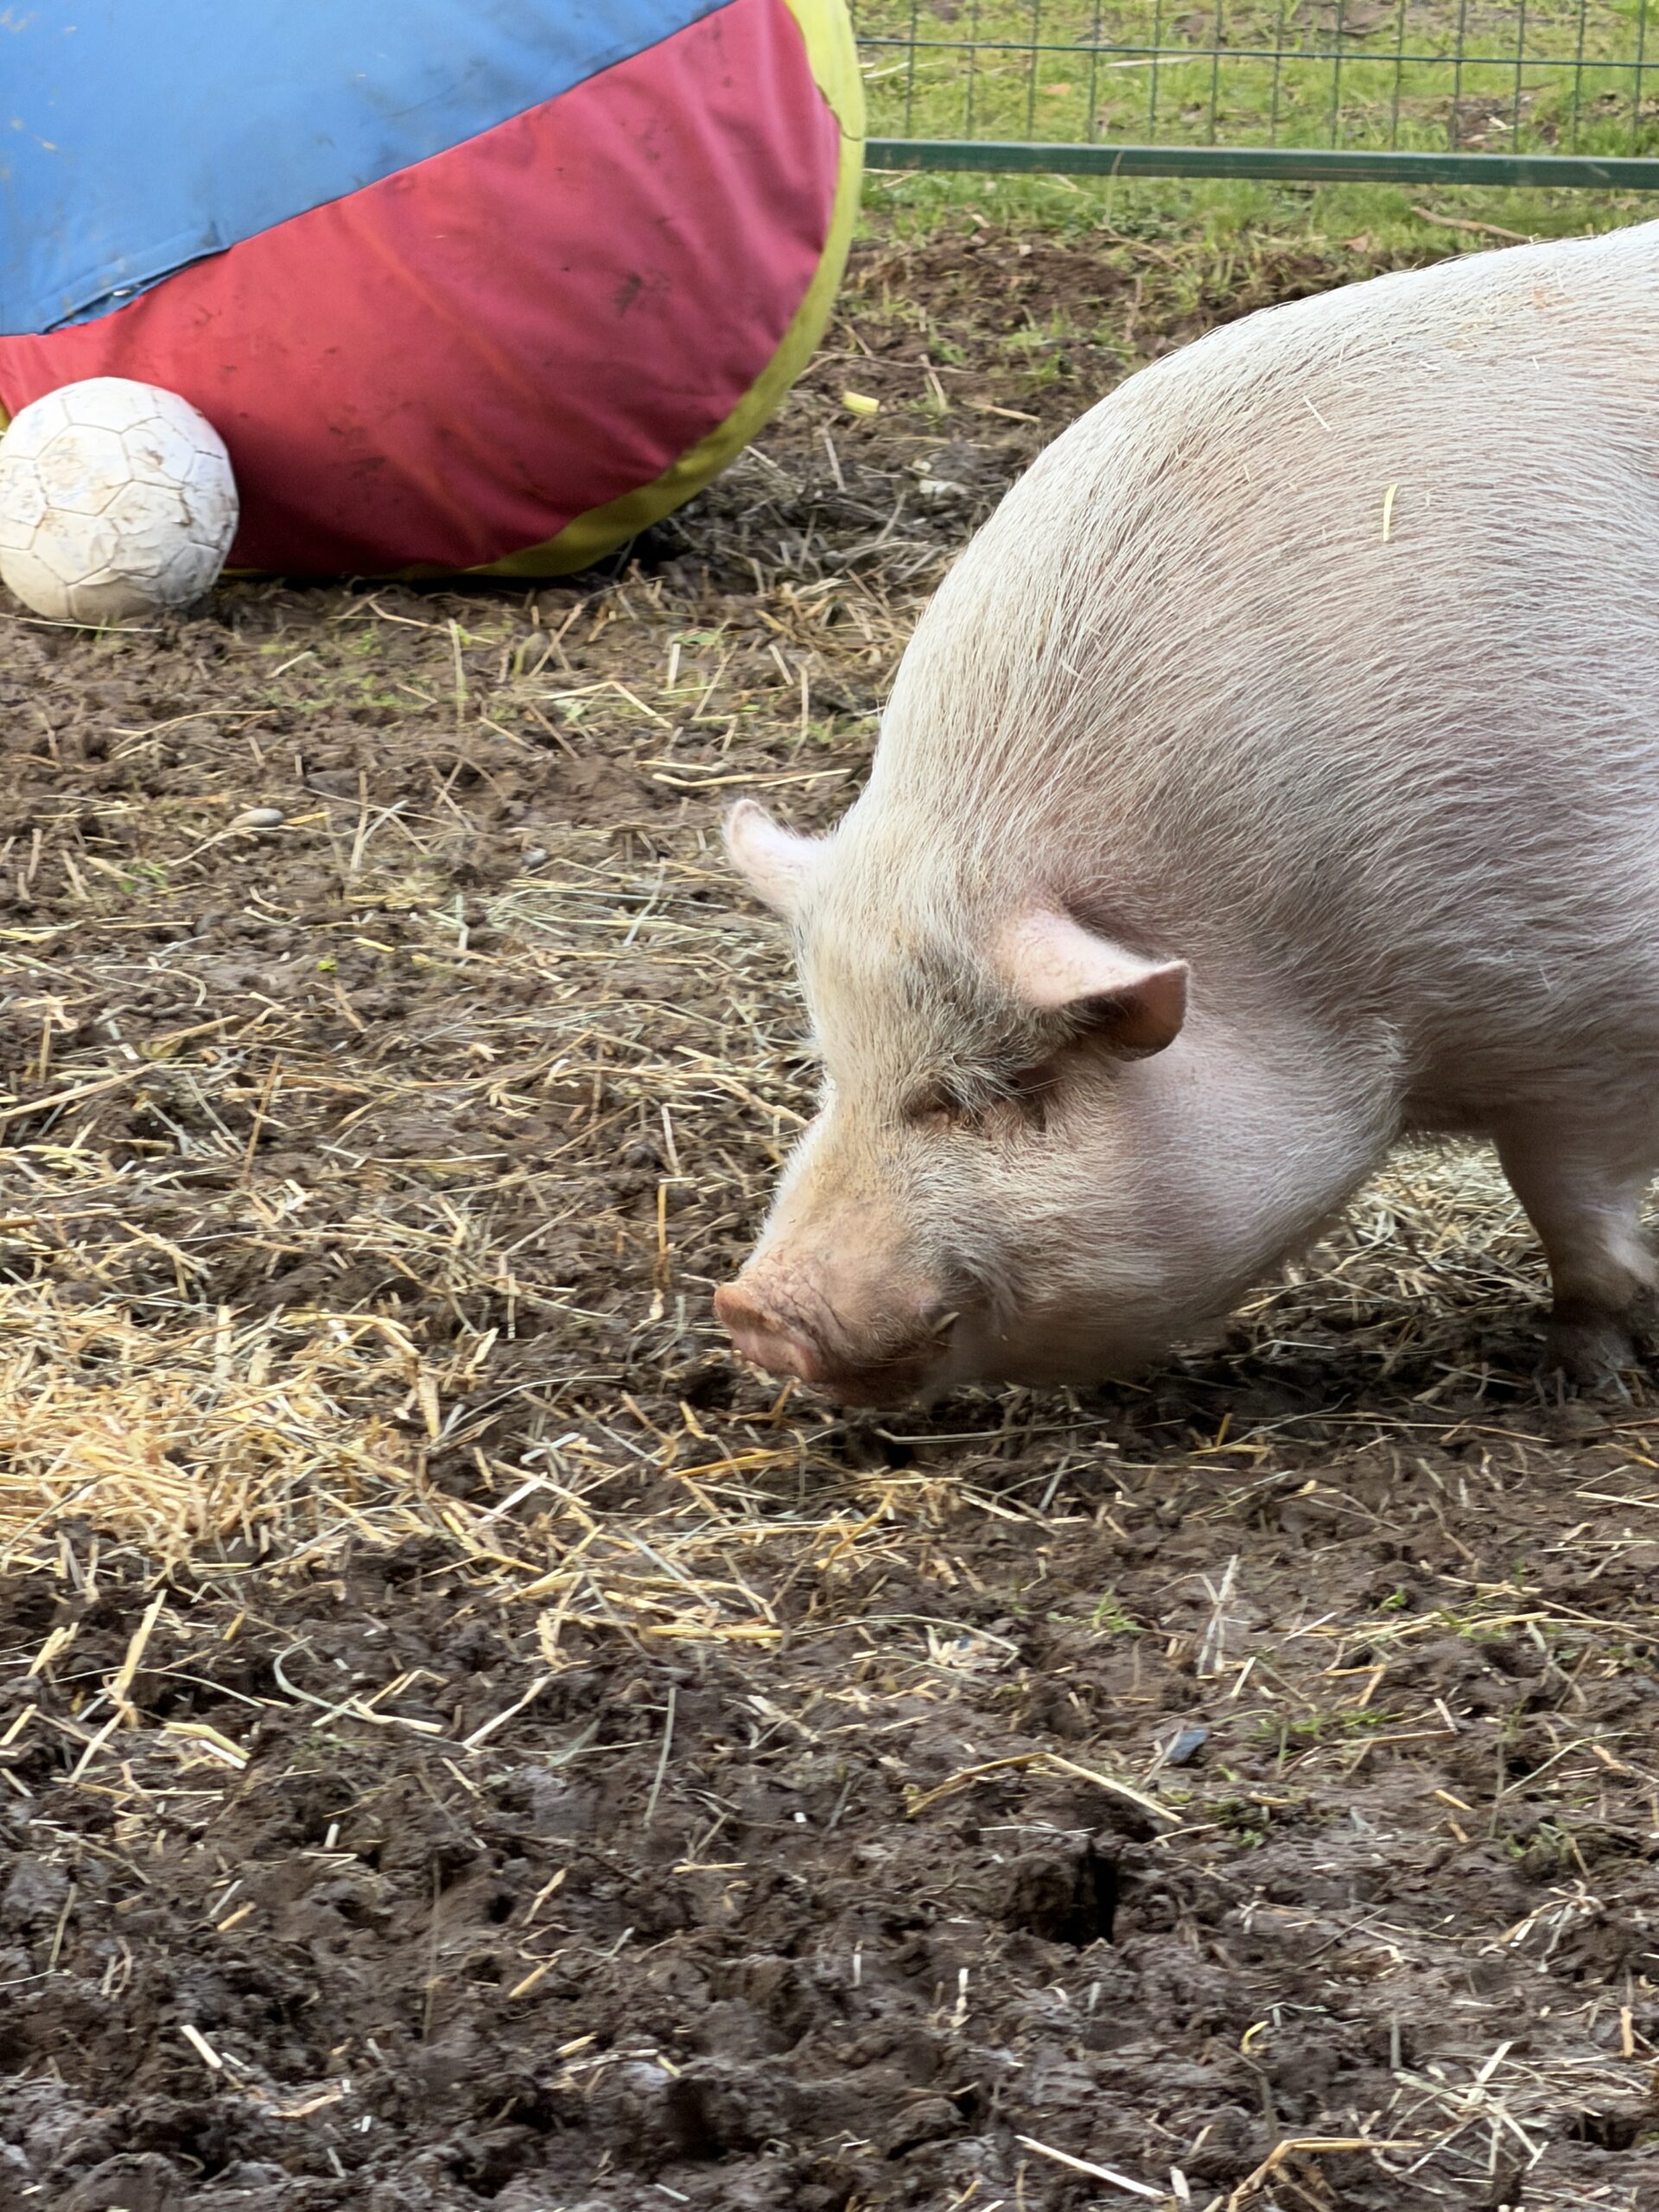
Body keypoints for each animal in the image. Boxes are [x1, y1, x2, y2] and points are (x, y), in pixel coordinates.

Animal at [714, 220, 1659, 1407]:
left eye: (991, 1085)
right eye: (834, 1064)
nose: (753, 1313)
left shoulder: (1597, 1016)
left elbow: (1574, 1212)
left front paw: (1588, 1378)